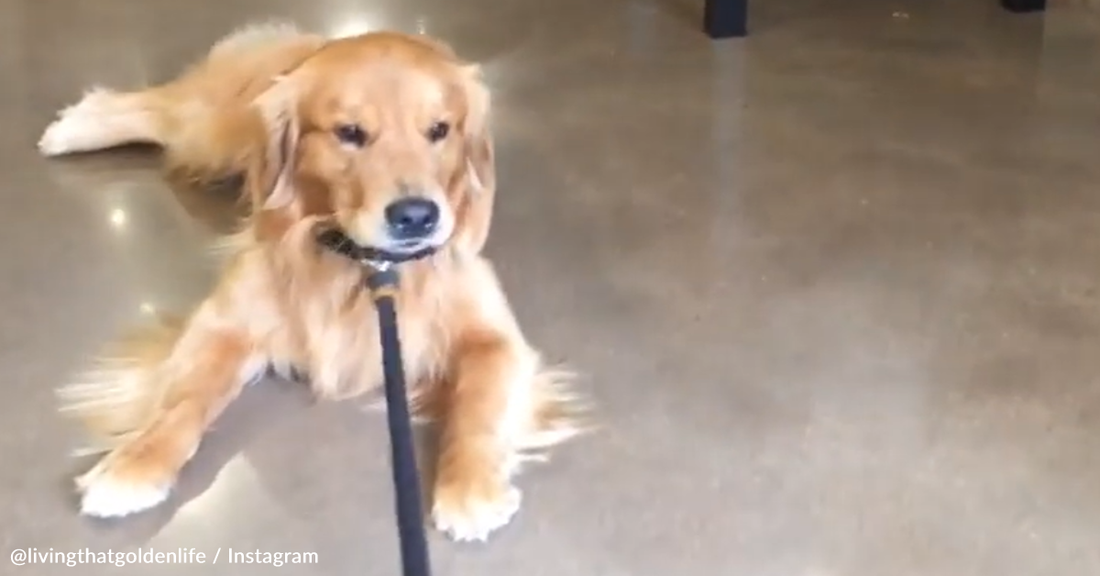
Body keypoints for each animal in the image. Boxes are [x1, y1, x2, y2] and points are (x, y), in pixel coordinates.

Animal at [37, 22, 580, 543]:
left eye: (439, 130)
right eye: (350, 133)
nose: (417, 217)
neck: (359, 259)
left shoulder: (493, 335)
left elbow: (480, 402)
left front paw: (471, 488)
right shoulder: (224, 322)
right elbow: (185, 400)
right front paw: (133, 465)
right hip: (215, 132)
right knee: (166, 109)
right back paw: (79, 125)